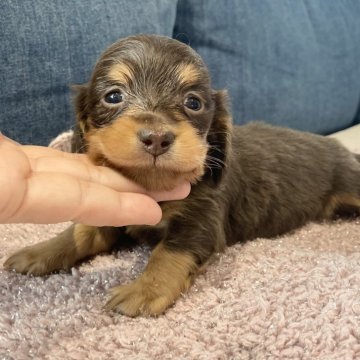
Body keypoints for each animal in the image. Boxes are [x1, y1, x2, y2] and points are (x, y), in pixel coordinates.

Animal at [4, 33, 360, 316]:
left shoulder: (201, 221)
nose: (157, 138)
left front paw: (143, 290)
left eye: (193, 102)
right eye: (113, 96)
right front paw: (39, 252)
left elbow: (168, 252)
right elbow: (81, 231)